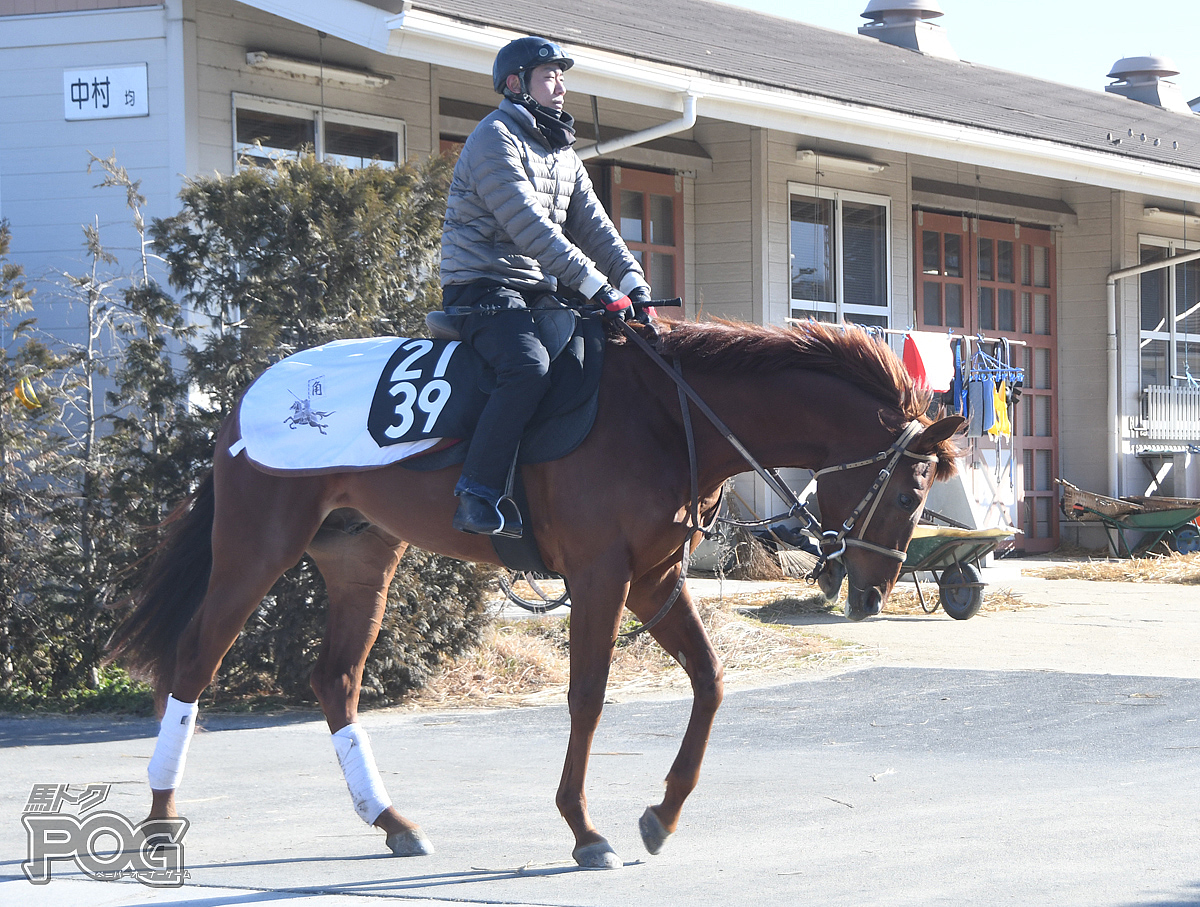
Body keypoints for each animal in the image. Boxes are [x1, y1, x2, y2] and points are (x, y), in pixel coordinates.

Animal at [108, 314, 960, 868]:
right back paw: (161, 815)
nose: (872, 592)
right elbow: (587, 696)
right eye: (911, 493)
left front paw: (663, 811)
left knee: (336, 679)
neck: (668, 413)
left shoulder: (652, 579)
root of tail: (248, 394)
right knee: (195, 661)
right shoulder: (601, 576)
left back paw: (389, 819)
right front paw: (584, 828)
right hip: (257, 546)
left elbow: (711, 680)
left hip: (360, 557)